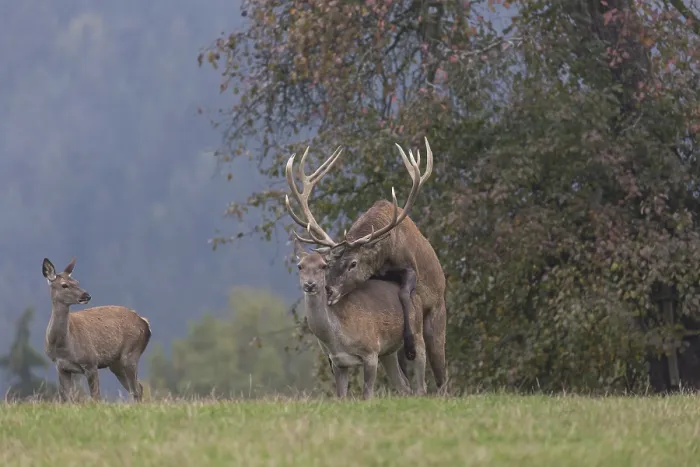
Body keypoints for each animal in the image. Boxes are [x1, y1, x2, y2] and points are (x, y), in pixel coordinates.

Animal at [41, 256, 152, 402]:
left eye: (77, 282)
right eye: (64, 285)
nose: (86, 295)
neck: (63, 346)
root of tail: (145, 323)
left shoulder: (91, 362)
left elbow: (95, 397)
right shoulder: (61, 367)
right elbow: (66, 398)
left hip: (130, 353)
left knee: (136, 389)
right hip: (116, 363)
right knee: (137, 387)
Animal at [293, 238, 426, 399]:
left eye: (323, 266)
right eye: (300, 266)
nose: (310, 284)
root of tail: (416, 294)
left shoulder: (370, 351)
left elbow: (367, 395)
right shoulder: (338, 362)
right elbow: (341, 396)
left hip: (417, 332)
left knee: (421, 385)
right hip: (388, 352)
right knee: (404, 385)